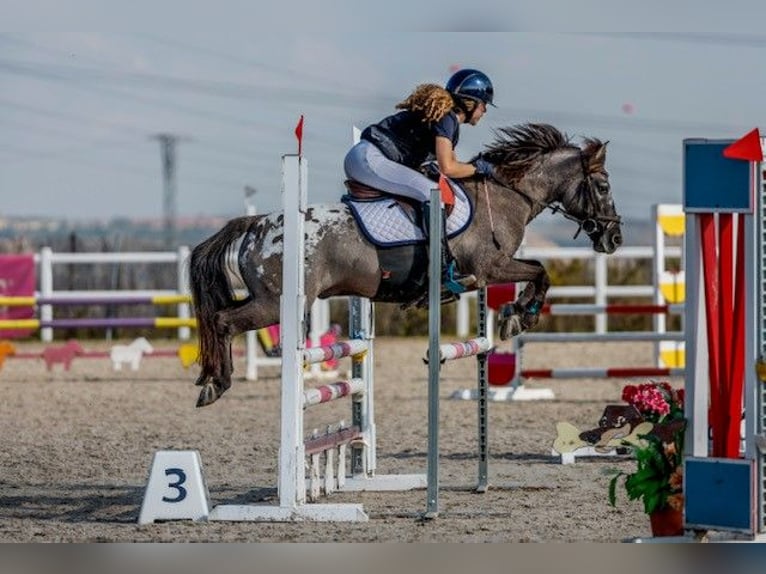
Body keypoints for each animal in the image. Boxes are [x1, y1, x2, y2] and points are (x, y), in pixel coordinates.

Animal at [188, 123, 624, 408]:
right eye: (603, 187)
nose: (614, 238)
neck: (504, 195)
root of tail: (258, 224)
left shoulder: (490, 272)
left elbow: (536, 269)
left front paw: (513, 315)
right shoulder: (489, 268)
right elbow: (539, 270)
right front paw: (519, 316)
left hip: (268, 299)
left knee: (221, 320)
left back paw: (211, 380)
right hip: (274, 303)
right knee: (223, 322)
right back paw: (215, 383)